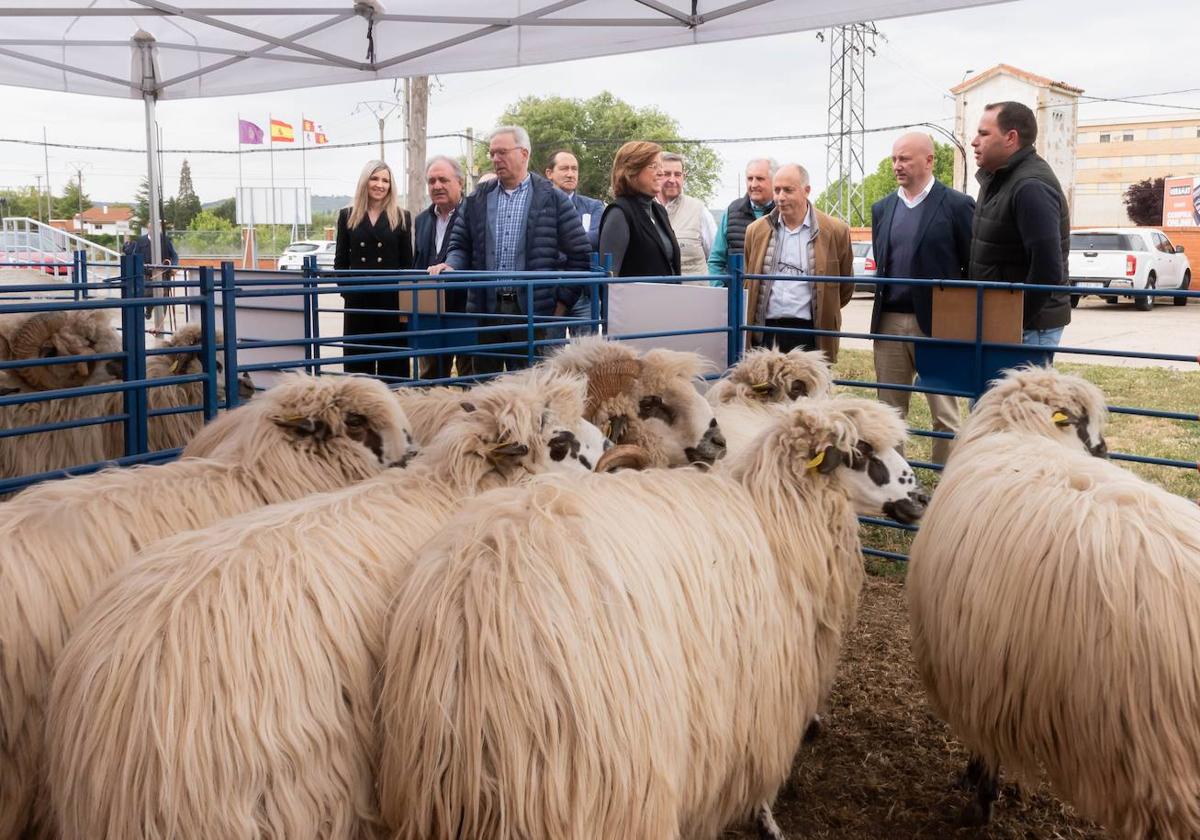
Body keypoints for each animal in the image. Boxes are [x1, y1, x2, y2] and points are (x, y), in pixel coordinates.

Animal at [374, 396, 926, 840]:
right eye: (860, 453)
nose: (920, 499)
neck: (773, 516)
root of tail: (471, 624)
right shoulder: (760, 694)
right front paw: (767, 822)